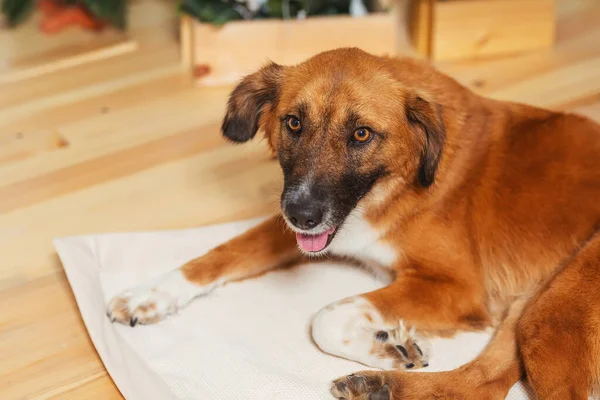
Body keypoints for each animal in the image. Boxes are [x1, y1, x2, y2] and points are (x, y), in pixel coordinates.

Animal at [108, 48, 600, 398]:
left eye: (361, 134)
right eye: (293, 123)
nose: (301, 215)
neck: (392, 185)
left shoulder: (458, 287)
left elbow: (325, 317)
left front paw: (384, 345)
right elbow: (222, 253)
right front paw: (149, 295)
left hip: (551, 314)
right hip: (532, 307)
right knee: (482, 383)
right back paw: (381, 388)